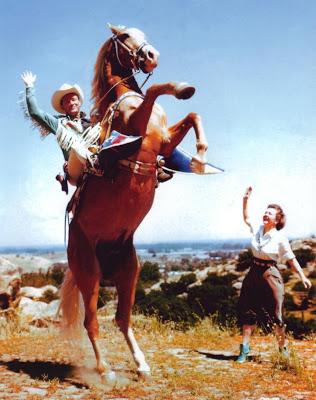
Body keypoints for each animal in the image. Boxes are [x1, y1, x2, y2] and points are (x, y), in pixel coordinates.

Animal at [60, 25, 209, 382]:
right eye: (126, 36)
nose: (152, 55)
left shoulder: (164, 140)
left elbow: (191, 115)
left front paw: (199, 155)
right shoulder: (138, 128)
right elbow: (155, 88)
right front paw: (181, 88)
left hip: (129, 271)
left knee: (121, 318)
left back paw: (141, 365)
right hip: (89, 274)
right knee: (91, 321)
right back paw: (104, 371)